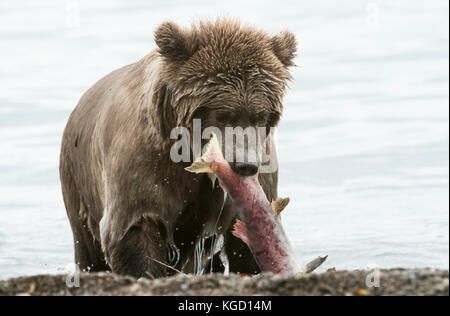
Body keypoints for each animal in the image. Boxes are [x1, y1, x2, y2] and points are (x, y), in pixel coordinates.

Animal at [60, 18, 298, 278]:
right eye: (222, 113)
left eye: (261, 116)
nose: (245, 164)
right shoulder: (143, 164)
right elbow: (133, 228)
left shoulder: (261, 172)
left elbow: (246, 245)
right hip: (78, 185)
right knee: (88, 248)